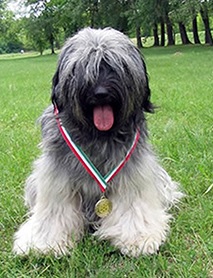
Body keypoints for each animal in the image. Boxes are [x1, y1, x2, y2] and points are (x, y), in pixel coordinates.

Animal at [13, 27, 183, 256]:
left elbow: (133, 206)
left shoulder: (132, 172)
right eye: (80, 67)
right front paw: (44, 242)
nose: (100, 93)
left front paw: (138, 237)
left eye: (116, 66)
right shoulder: (57, 176)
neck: (97, 135)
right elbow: (55, 211)